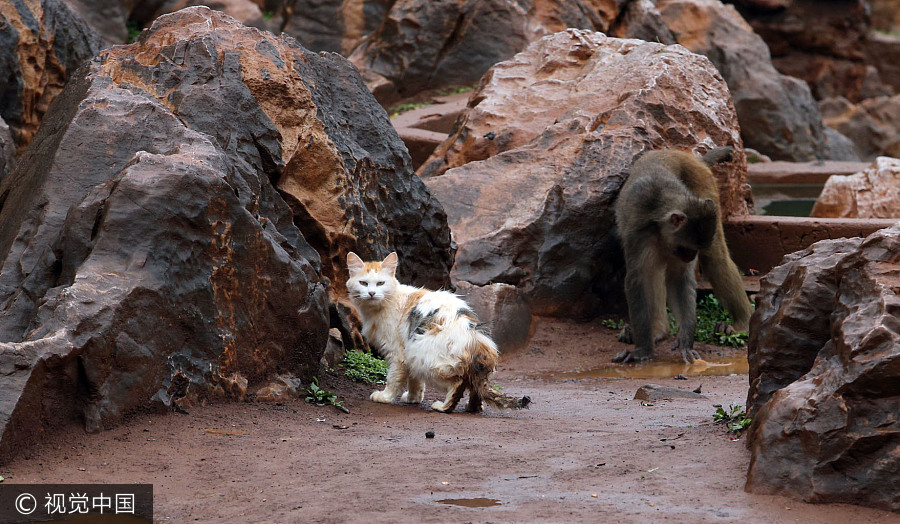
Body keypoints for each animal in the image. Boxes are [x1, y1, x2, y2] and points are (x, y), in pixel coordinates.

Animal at [342, 253, 528, 414]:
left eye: (380, 283)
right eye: (363, 283)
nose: (372, 293)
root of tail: (475, 335)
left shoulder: (399, 354)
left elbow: (393, 378)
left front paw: (385, 397)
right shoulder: (408, 353)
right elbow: (415, 381)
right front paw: (413, 398)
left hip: (425, 356)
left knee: (458, 384)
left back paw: (444, 407)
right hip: (418, 353)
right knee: (476, 389)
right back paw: (472, 408)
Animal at [612, 145, 752, 362]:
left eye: (694, 249)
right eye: (687, 248)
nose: (691, 257)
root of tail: (684, 155)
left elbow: (679, 279)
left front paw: (686, 341)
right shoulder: (639, 238)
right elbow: (639, 279)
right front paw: (643, 349)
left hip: (702, 181)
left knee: (715, 258)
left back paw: (742, 323)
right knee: (653, 272)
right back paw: (658, 330)